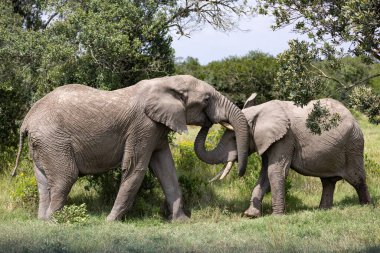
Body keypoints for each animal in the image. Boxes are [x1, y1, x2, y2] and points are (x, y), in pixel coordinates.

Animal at [12, 74, 249, 220]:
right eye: (207, 99)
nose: (210, 122)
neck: (166, 82)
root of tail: (27, 120)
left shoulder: (157, 128)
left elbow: (166, 169)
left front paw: (182, 221)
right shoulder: (143, 126)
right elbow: (136, 168)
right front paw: (110, 221)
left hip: (43, 144)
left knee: (43, 181)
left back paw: (42, 220)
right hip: (53, 141)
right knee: (65, 177)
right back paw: (55, 221)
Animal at [196, 95, 372, 217]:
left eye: (234, 138)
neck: (261, 110)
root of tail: (353, 118)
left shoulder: (286, 137)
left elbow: (275, 171)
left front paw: (276, 216)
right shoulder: (270, 140)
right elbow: (265, 173)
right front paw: (250, 215)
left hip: (353, 144)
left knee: (356, 178)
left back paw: (366, 206)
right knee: (328, 181)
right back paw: (323, 210)